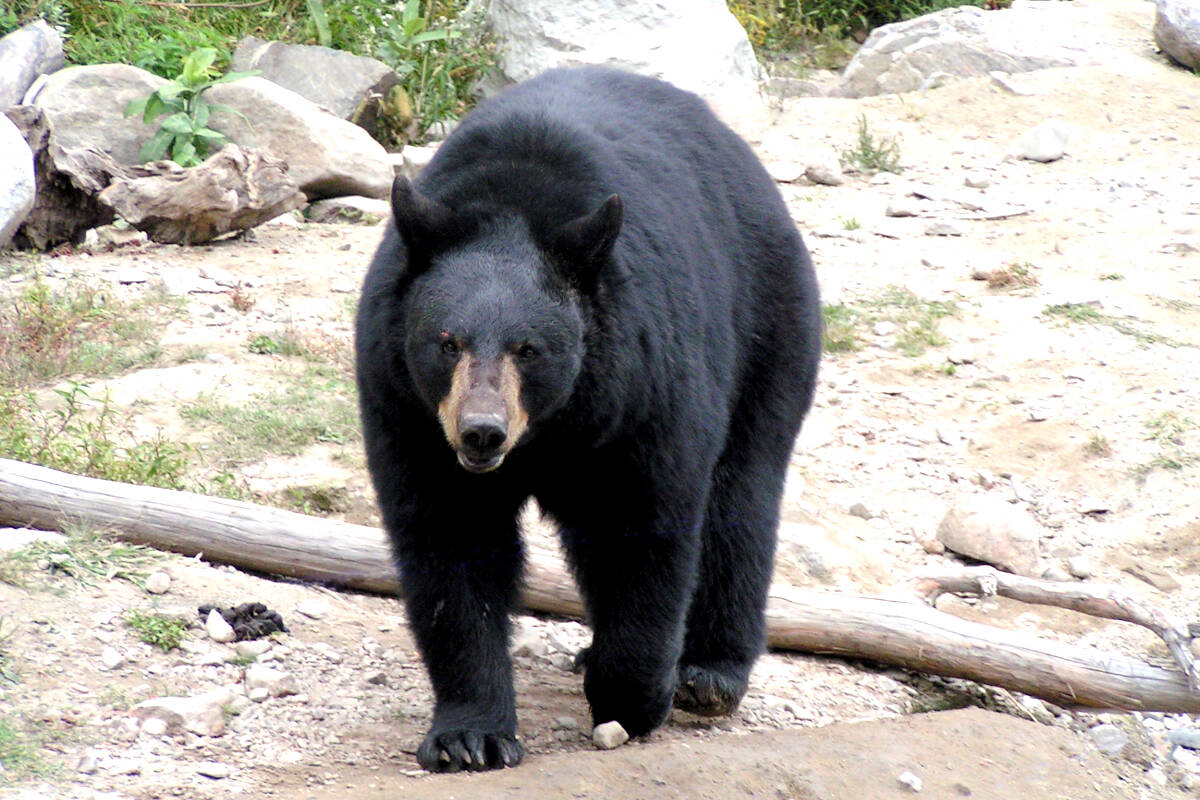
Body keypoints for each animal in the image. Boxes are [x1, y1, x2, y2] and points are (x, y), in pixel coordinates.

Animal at [355, 66, 821, 773]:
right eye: (446, 342)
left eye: (529, 348)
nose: (481, 431)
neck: (551, 429)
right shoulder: (407, 409)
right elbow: (449, 543)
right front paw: (469, 735)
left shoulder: (642, 392)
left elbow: (642, 531)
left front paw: (634, 696)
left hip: (769, 323)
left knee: (741, 497)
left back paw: (709, 671)